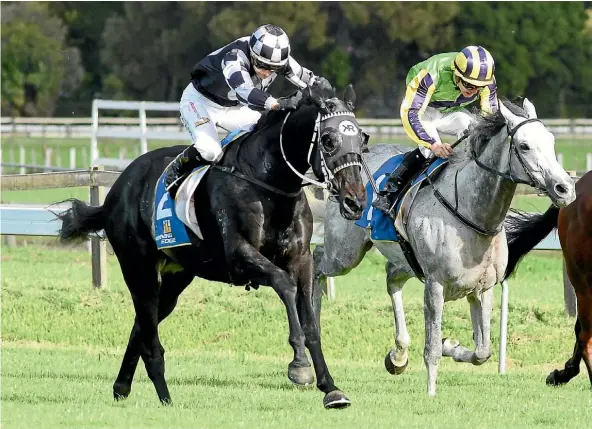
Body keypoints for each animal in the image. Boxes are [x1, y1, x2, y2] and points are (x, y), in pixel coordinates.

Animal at [57, 78, 368, 410]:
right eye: (328, 140)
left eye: (362, 139)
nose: (355, 201)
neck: (268, 182)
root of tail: (116, 190)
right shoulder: (240, 257)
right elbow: (284, 284)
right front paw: (299, 365)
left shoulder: (302, 260)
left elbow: (310, 320)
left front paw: (331, 388)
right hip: (138, 267)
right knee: (149, 336)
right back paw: (165, 397)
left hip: (176, 277)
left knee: (141, 326)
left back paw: (122, 386)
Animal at [310, 97, 572, 394]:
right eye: (525, 146)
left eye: (551, 140)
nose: (565, 188)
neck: (473, 213)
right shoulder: (435, 285)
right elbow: (432, 348)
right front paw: (431, 392)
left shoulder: (482, 288)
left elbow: (483, 351)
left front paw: (451, 346)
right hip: (345, 253)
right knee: (317, 261)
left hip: (405, 259)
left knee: (391, 278)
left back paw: (398, 355)